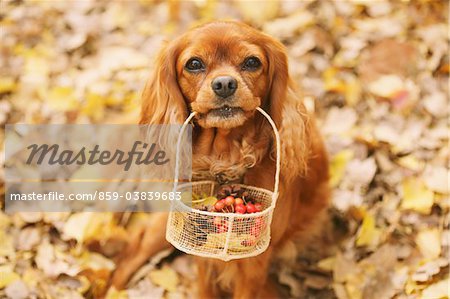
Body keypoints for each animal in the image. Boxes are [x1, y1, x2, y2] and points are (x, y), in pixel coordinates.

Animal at [110, 19, 328, 298]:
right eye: (194, 64)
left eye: (252, 62)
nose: (224, 84)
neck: (225, 158)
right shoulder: (201, 248)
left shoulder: (252, 264)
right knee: (132, 252)